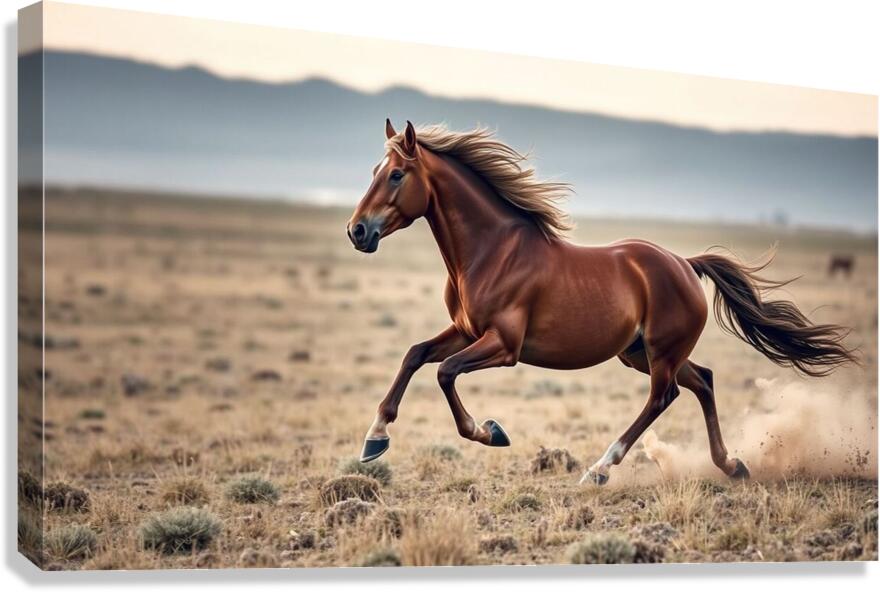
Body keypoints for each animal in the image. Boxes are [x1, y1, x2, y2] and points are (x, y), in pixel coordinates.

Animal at [346, 120, 855, 485]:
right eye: (373, 172)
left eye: (396, 174)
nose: (357, 231)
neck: (491, 251)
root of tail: (685, 264)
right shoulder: (465, 330)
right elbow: (415, 356)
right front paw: (374, 440)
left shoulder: (504, 346)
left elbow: (446, 373)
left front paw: (489, 431)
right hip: (640, 353)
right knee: (703, 382)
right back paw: (732, 466)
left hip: (659, 353)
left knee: (663, 396)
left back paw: (600, 468)